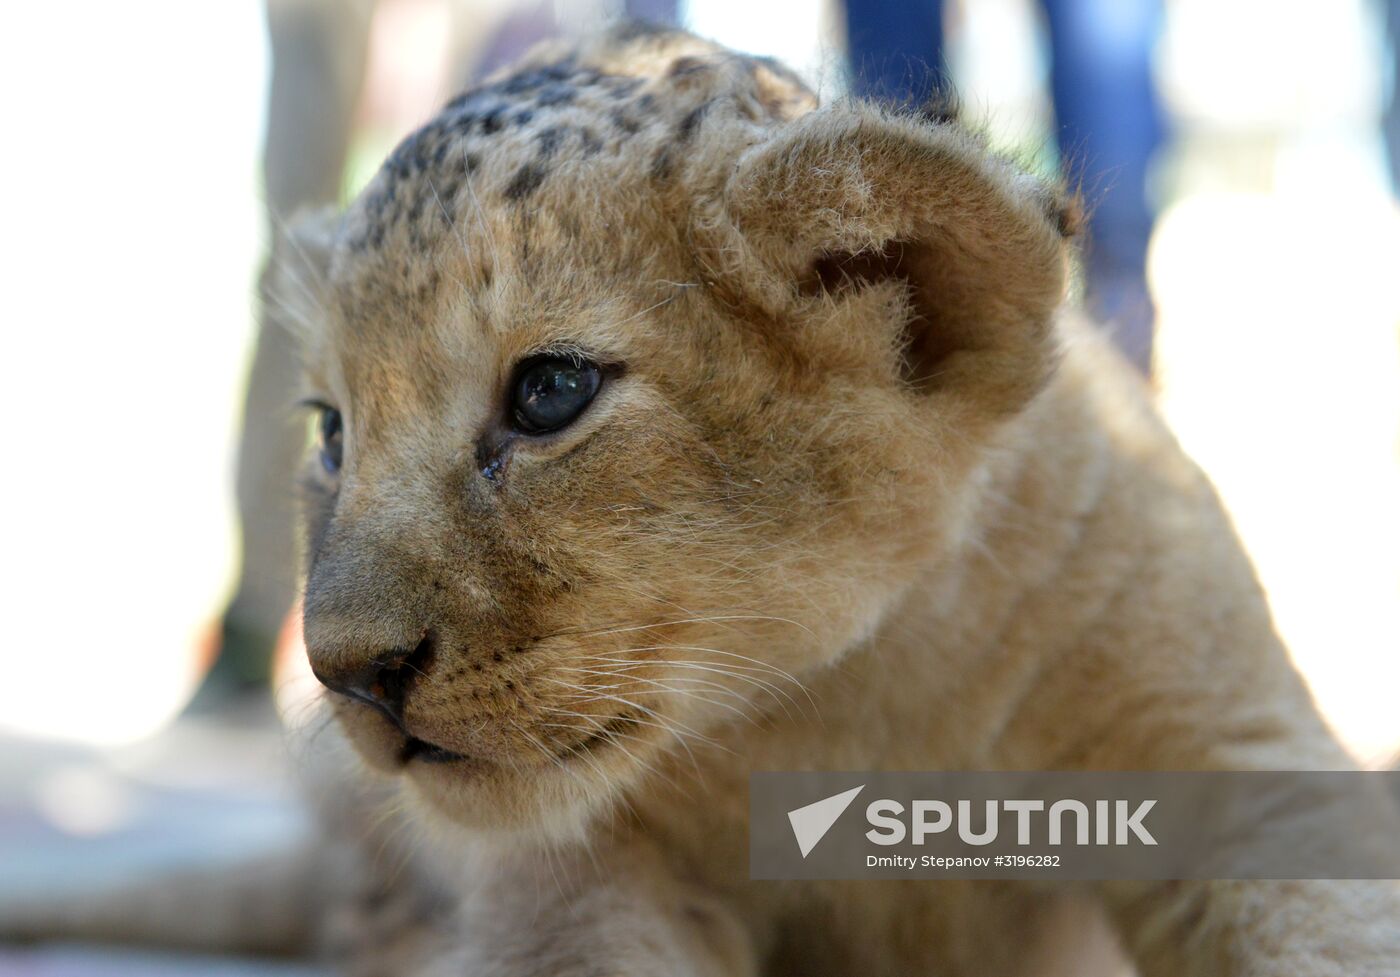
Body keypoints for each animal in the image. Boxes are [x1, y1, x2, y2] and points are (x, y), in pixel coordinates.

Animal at [6, 23, 1397, 977]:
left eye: (550, 392)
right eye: (334, 432)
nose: (344, 672)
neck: (840, 692)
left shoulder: (1231, 753)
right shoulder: (566, 876)